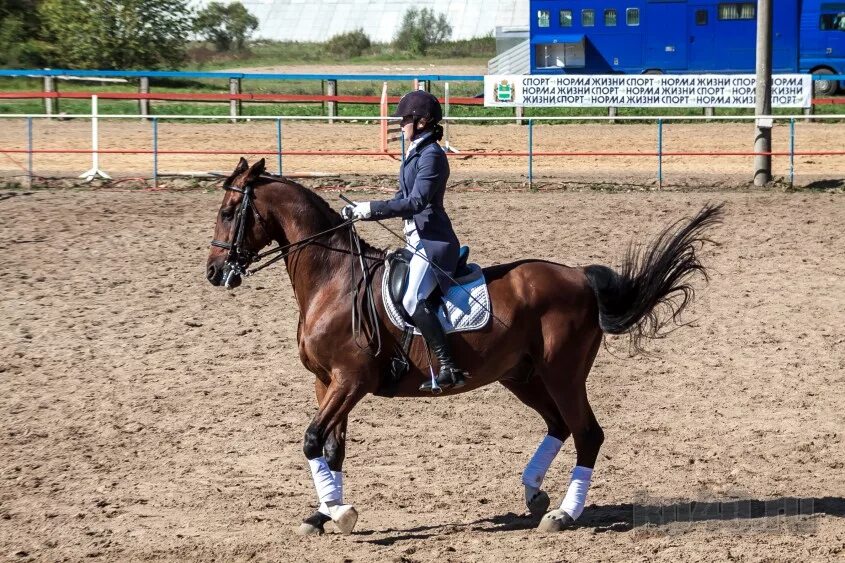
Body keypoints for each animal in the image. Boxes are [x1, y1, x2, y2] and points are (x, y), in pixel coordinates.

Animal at [203, 159, 720, 536]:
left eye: (229, 212)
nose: (214, 273)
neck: (334, 279)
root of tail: (579, 278)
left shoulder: (352, 380)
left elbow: (312, 439)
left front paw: (339, 512)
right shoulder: (326, 382)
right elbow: (331, 448)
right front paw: (324, 512)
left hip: (563, 373)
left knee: (587, 433)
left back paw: (563, 514)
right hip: (522, 375)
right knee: (558, 425)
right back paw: (534, 493)